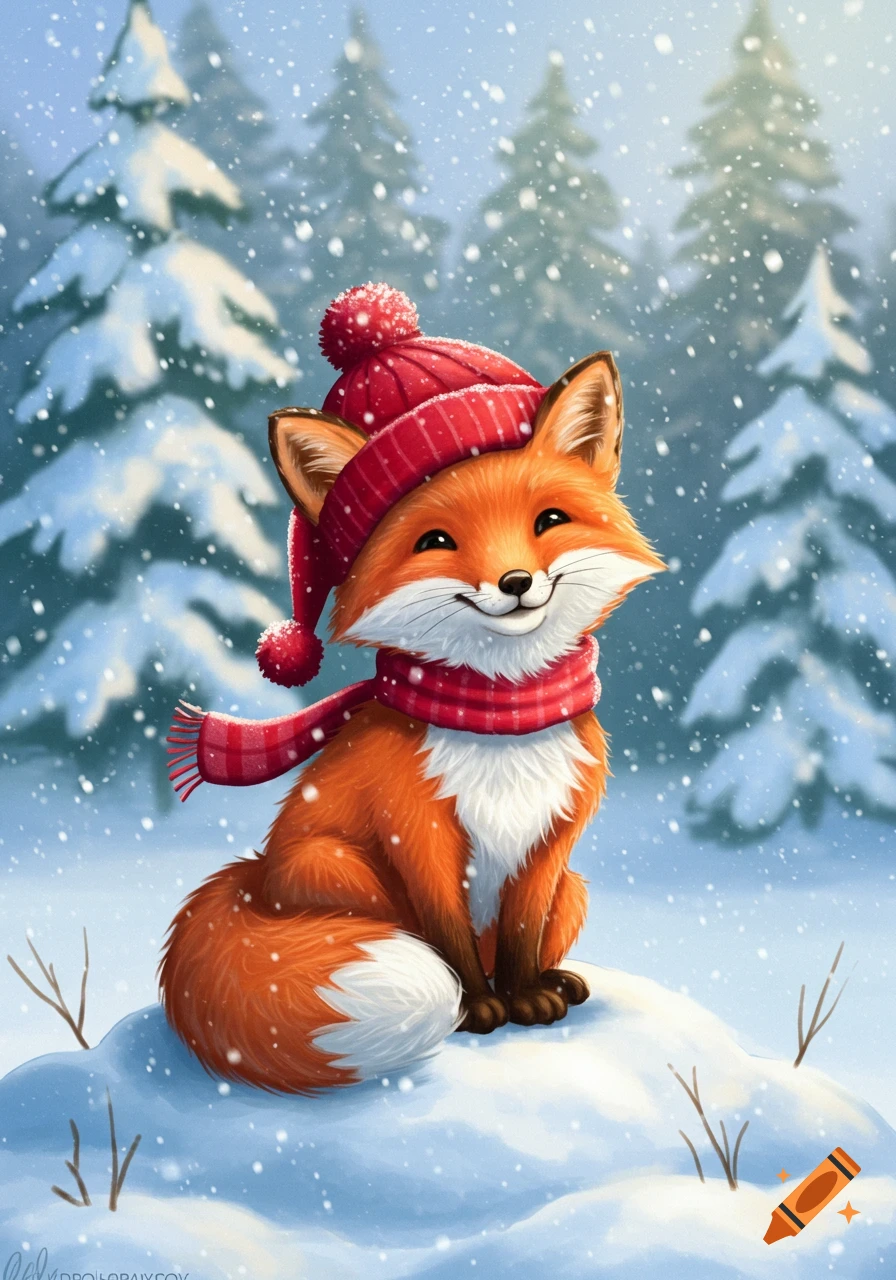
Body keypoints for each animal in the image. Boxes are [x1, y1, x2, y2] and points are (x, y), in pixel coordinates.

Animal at [160, 343, 663, 1093]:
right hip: (335, 863)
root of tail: (253, 881)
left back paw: (556, 981)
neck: (499, 720)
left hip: (574, 890)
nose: (516, 583)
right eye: (437, 540)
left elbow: (520, 937)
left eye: (549, 520)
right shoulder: (418, 832)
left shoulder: (550, 842)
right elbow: (448, 937)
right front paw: (480, 1008)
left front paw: (526, 996)